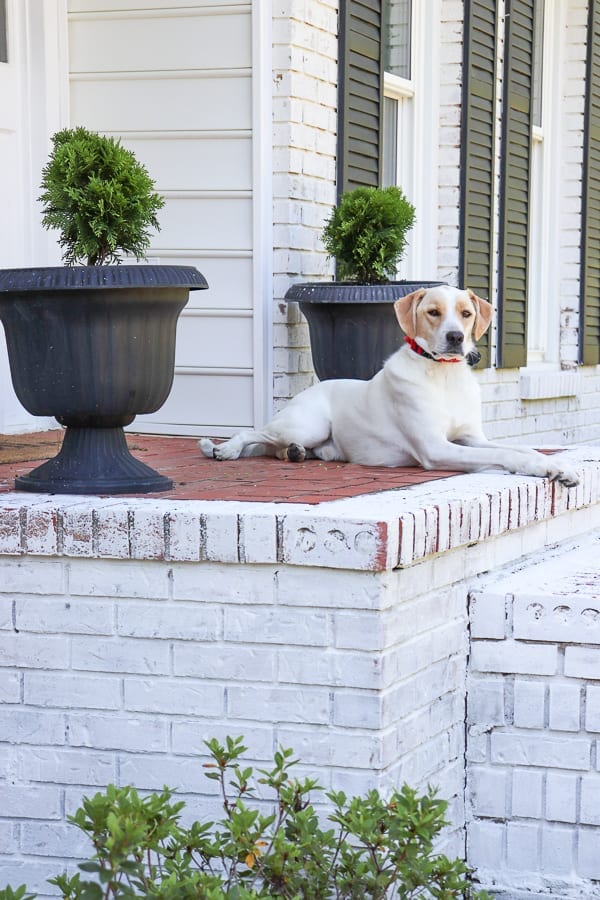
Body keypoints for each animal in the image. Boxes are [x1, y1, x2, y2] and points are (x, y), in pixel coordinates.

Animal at [199, 286, 580, 486]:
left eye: (466, 313)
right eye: (433, 312)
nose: (456, 337)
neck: (443, 376)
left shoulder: (472, 438)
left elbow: (522, 449)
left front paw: (557, 467)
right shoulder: (436, 448)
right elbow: (505, 454)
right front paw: (545, 468)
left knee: (275, 446)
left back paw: (294, 453)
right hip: (307, 424)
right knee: (255, 434)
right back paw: (225, 449)